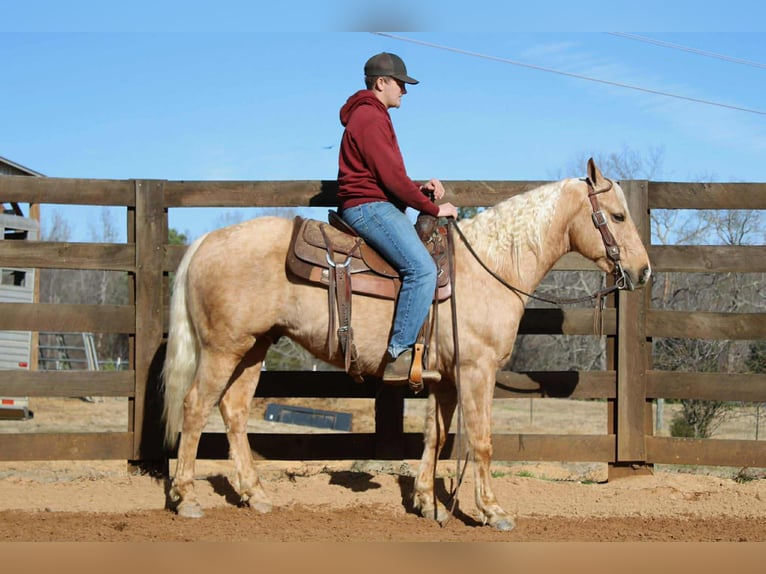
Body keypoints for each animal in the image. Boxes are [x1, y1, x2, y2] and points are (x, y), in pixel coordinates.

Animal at [161, 158, 651, 530]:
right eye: (618, 216)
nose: (644, 271)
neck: (489, 266)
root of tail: (206, 240)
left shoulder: (446, 379)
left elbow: (436, 436)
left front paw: (427, 503)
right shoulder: (476, 370)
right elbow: (481, 440)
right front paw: (491, 511)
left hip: (254, 347)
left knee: (234, 411)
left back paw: (255, 494)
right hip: (224, 349)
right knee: (195, 406)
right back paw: (186, 498)